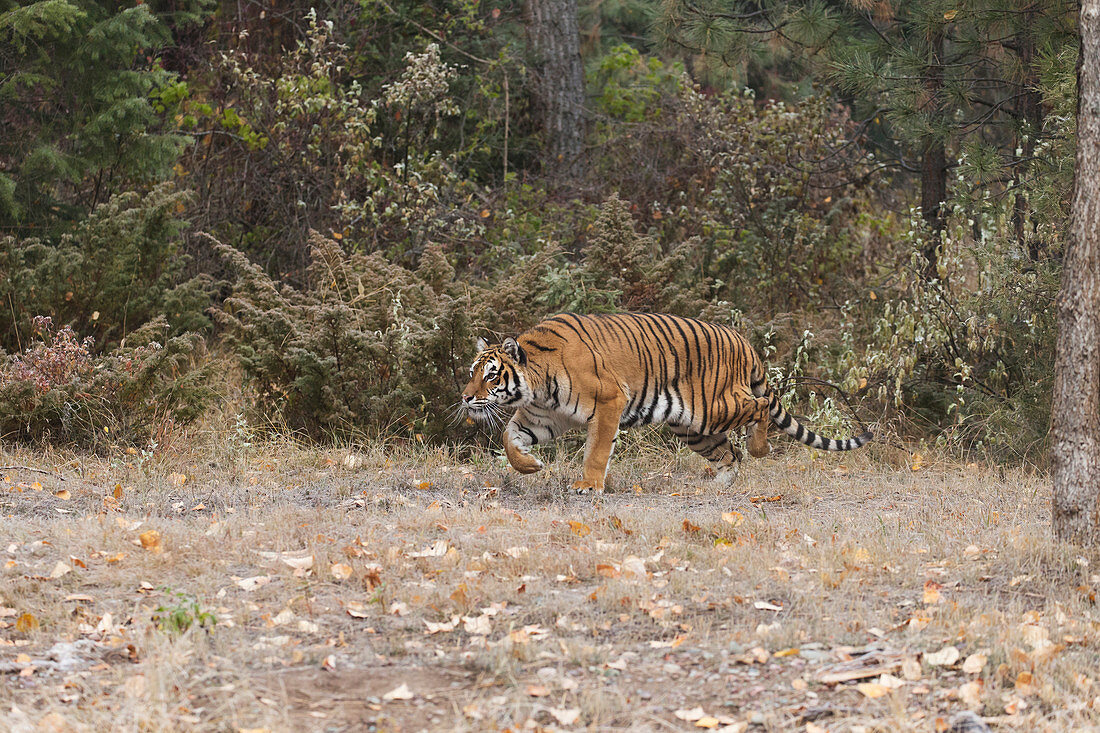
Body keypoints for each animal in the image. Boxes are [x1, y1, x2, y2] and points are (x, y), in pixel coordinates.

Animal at [459, 310, 871, 493]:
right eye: (472, 371)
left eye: (491, 375)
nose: (465, 397)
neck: (537, 383)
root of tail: (743, 341)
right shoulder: (543, 415)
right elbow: (510, 438)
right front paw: (530, 466)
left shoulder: (609, 401)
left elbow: (596, 451)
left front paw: (589, 485)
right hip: (693, 427)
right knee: (729, 456)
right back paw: (718, 486)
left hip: (714, 407)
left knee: (759, 409)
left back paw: (760, 448)